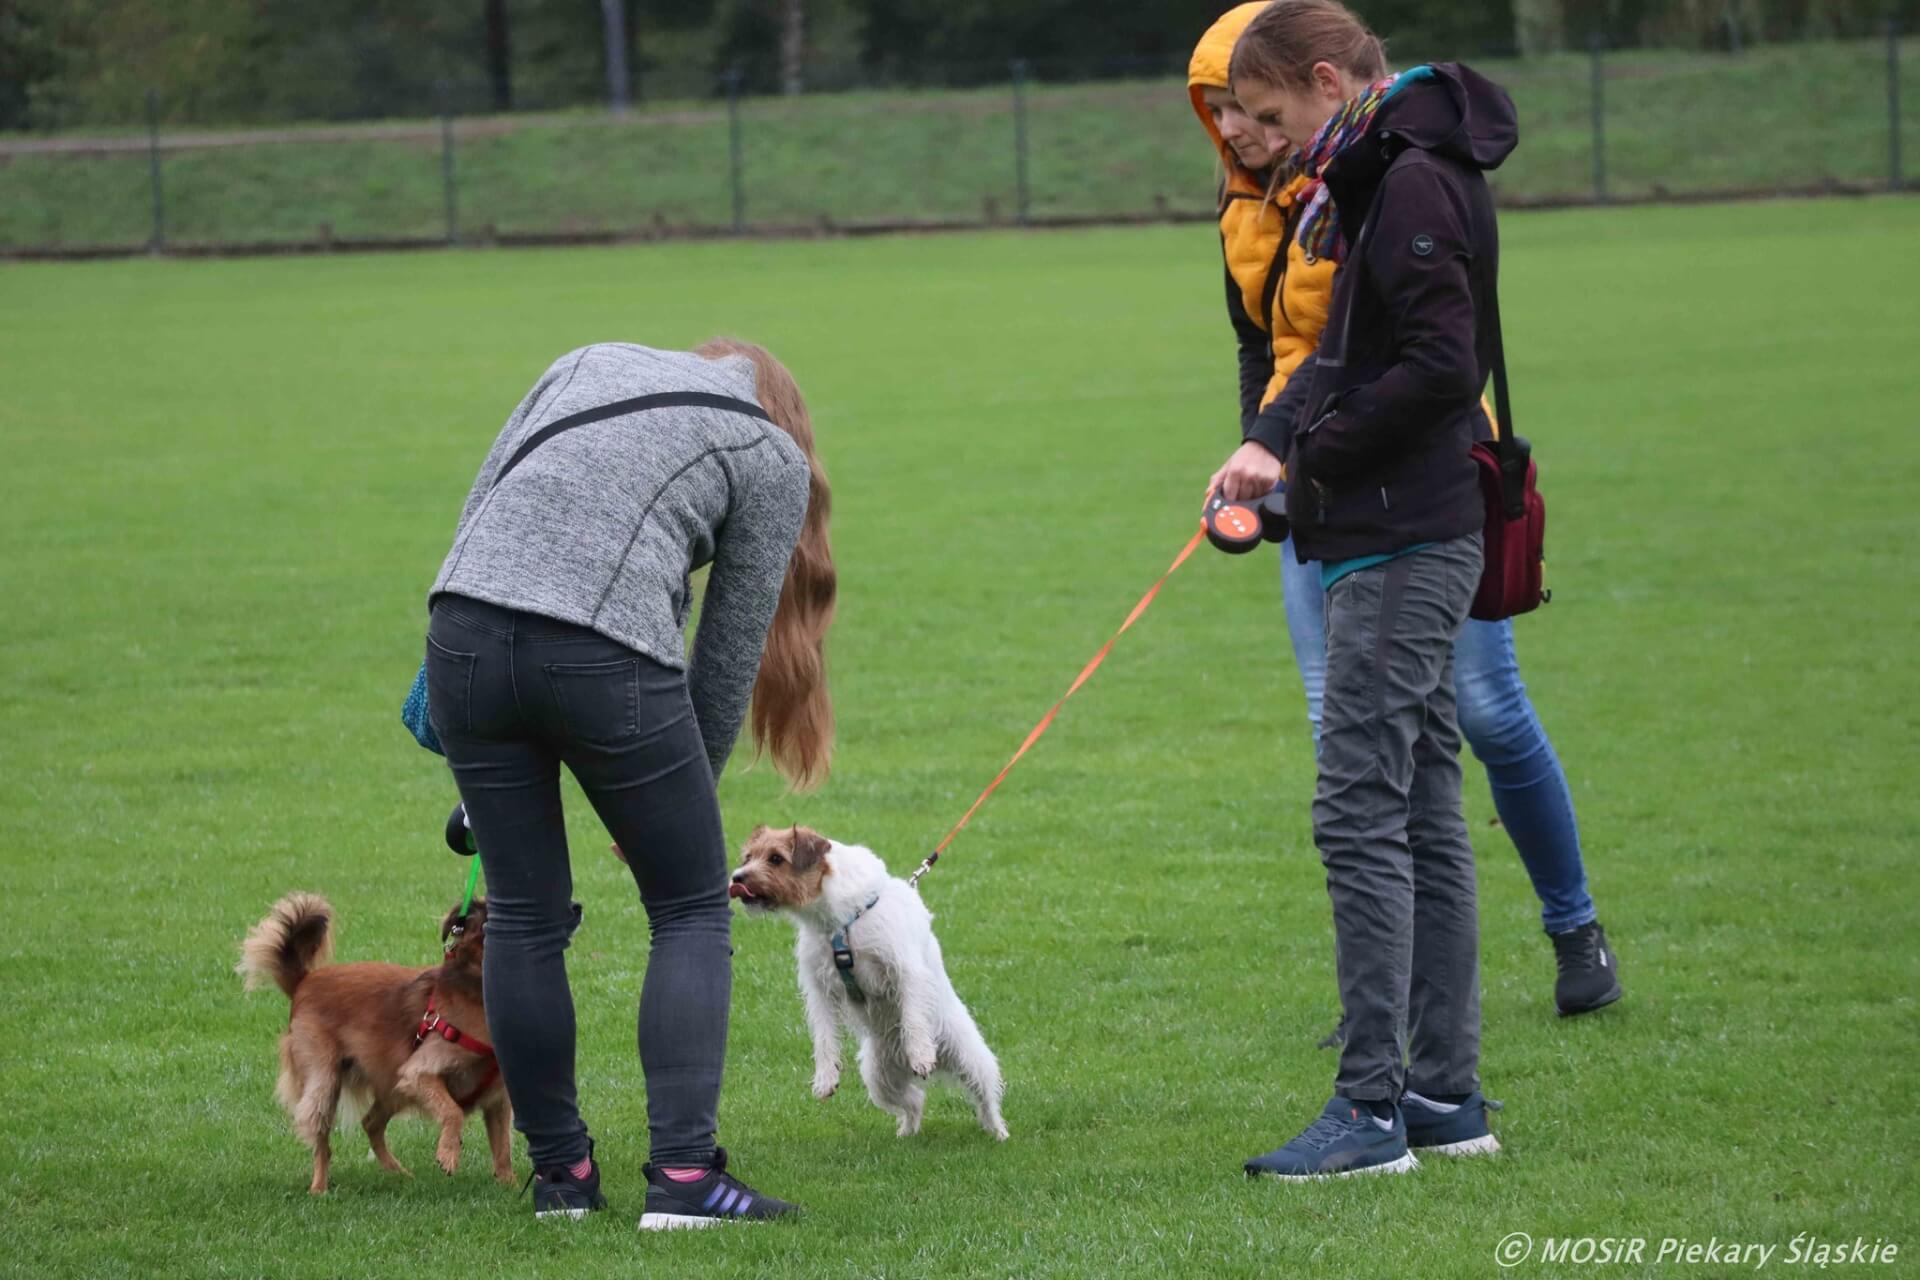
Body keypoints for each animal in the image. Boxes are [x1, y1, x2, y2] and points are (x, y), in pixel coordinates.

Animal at [236, 898, 514, 1197]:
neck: (476, 987)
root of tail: (305, 981)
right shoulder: (418, 1071)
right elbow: (453, 1111)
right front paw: (448, 1153)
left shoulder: (498, 1099)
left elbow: (503, 1149)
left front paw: (510, 1185)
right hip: (325, 1081)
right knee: (323, 1139)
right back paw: (320, 1187)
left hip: (392, 1085)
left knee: (371, 1123)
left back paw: (399, 1173)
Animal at [729, 832, 1013, 1143]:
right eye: (748, 857)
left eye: (776, 858)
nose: (736, 877)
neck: (839, 923)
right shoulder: (819, 991)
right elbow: (824, 1038)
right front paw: (826, 1078)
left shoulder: (907, 971)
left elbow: (913, 1018)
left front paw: (921, 1054)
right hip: (878, 1077)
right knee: (914, 1101)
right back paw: (906, 1132)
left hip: (969, 1058)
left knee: (985, 1098)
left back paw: (998, 1131)